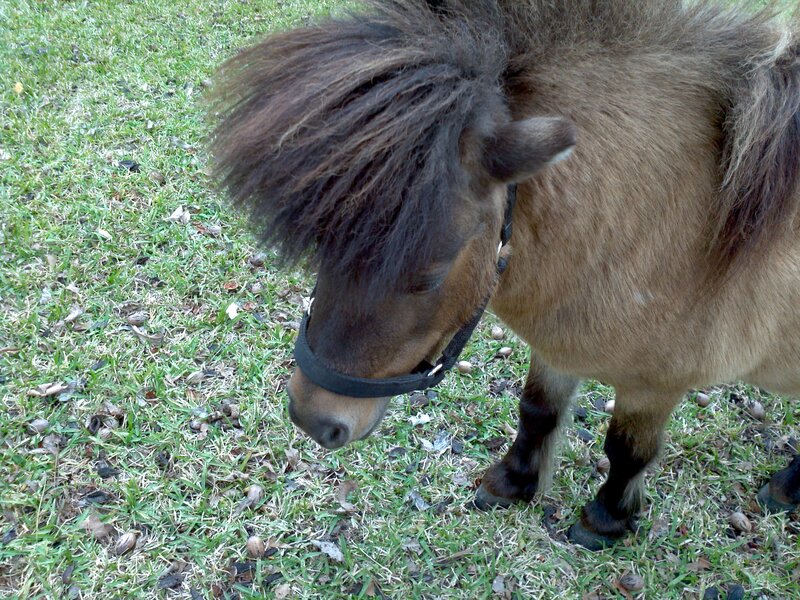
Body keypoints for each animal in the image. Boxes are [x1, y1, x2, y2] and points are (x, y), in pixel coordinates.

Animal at [208, 0, 800, 550]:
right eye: (324, 248)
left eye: (431, 274)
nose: (312, 419)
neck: (664, 217)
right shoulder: (559, 347)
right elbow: (537, 411)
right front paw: (513, 483)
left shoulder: (655, 382)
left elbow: (627, 450)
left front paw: (605, 519)